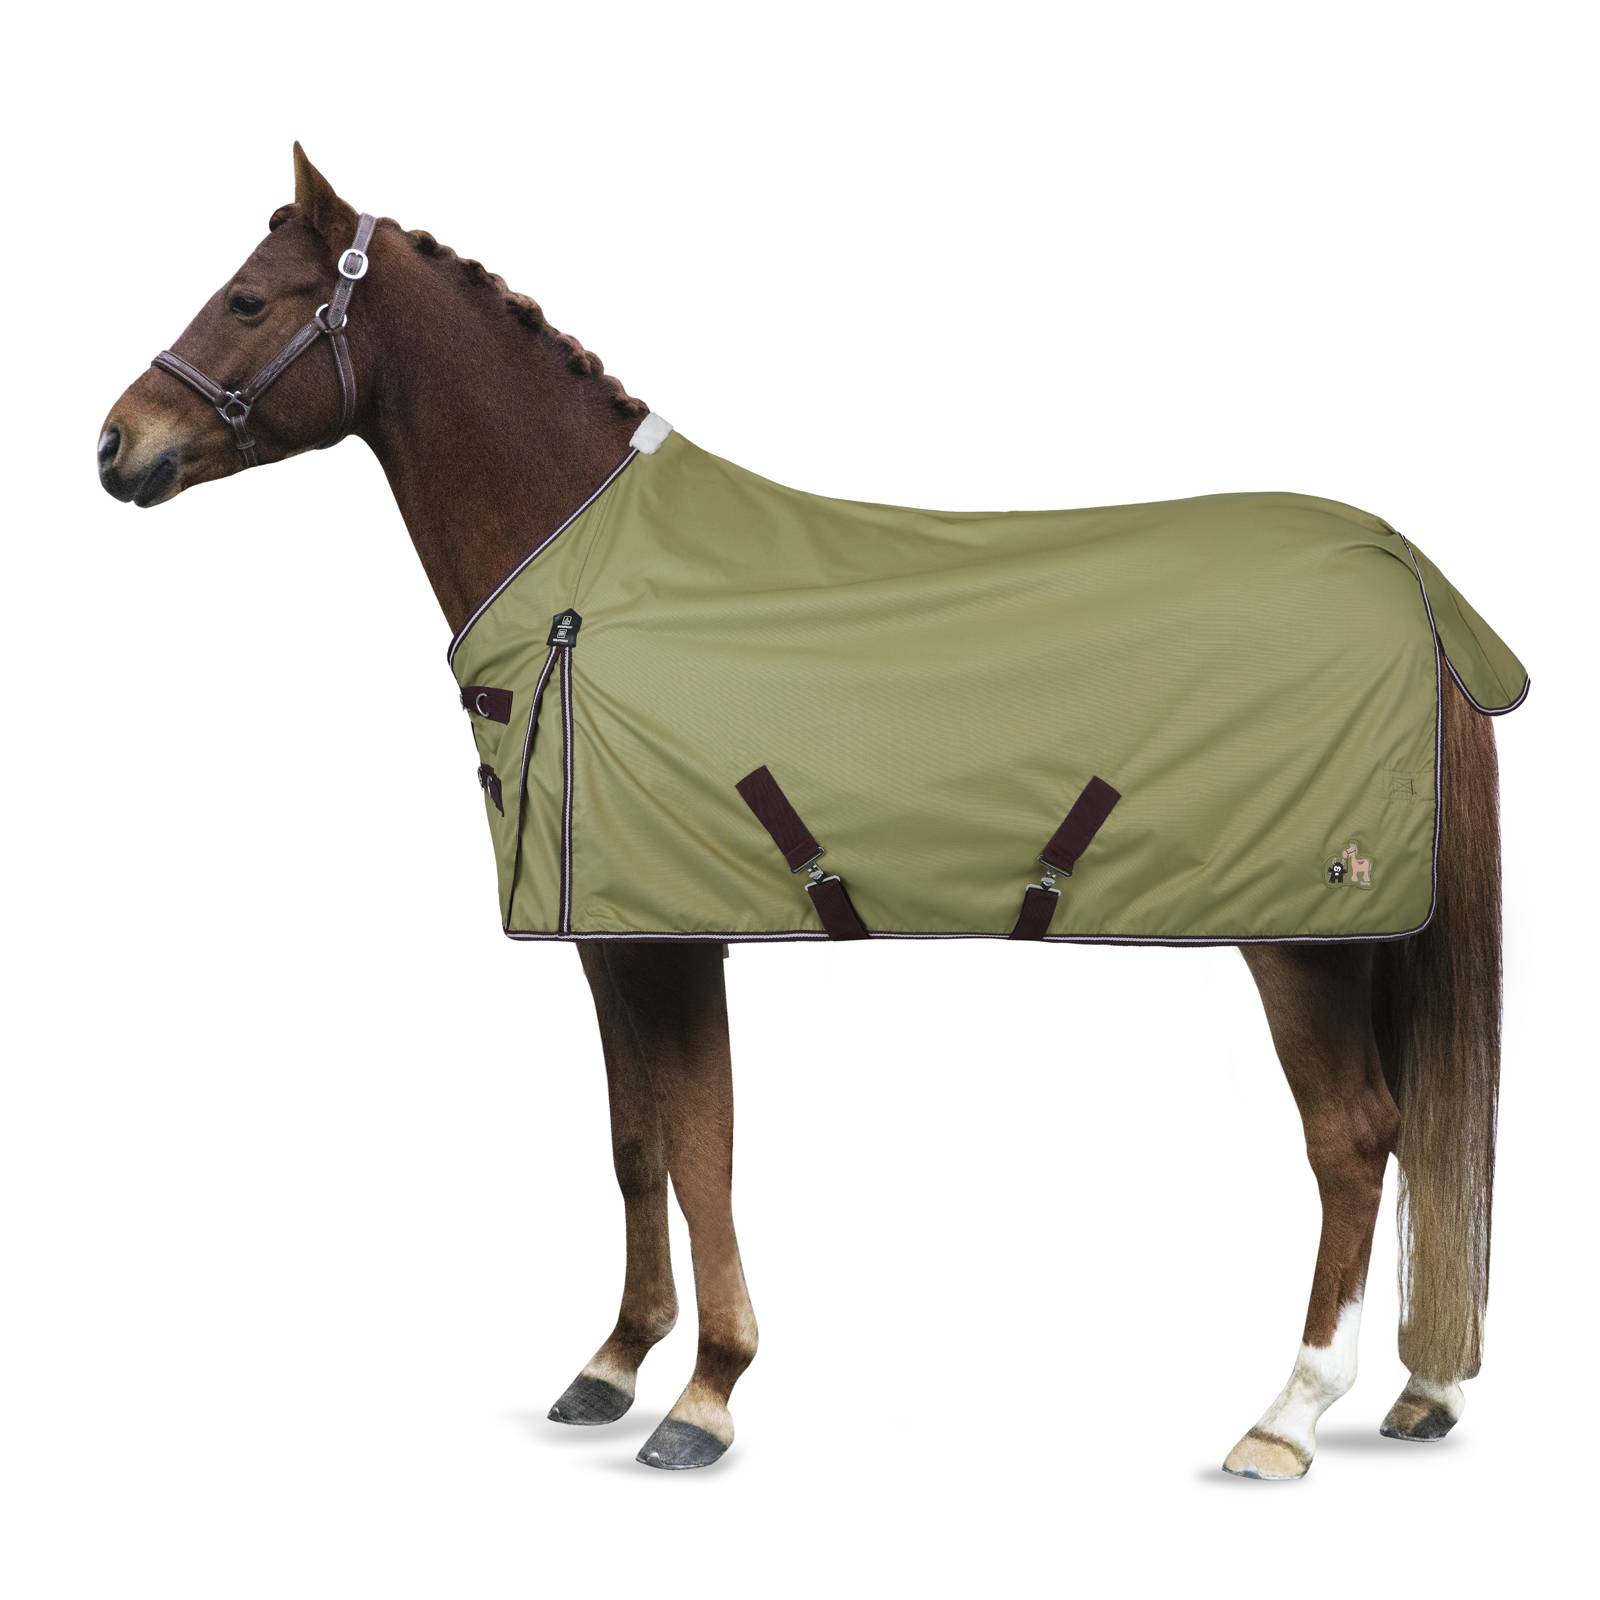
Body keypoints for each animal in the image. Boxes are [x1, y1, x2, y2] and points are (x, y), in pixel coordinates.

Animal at [98, 145, 1504, 1478]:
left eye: (249, 299)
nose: (116, 444)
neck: (587, 590)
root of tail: (1407, 576)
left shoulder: (677, 941)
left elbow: (703, 1147)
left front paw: (704, 1395)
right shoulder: (607, 938)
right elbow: (635, 1145)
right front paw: (612, 1362)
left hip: (1299, 940)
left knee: (1354, 1139)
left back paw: (1286, 1418)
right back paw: (1419, 1392)